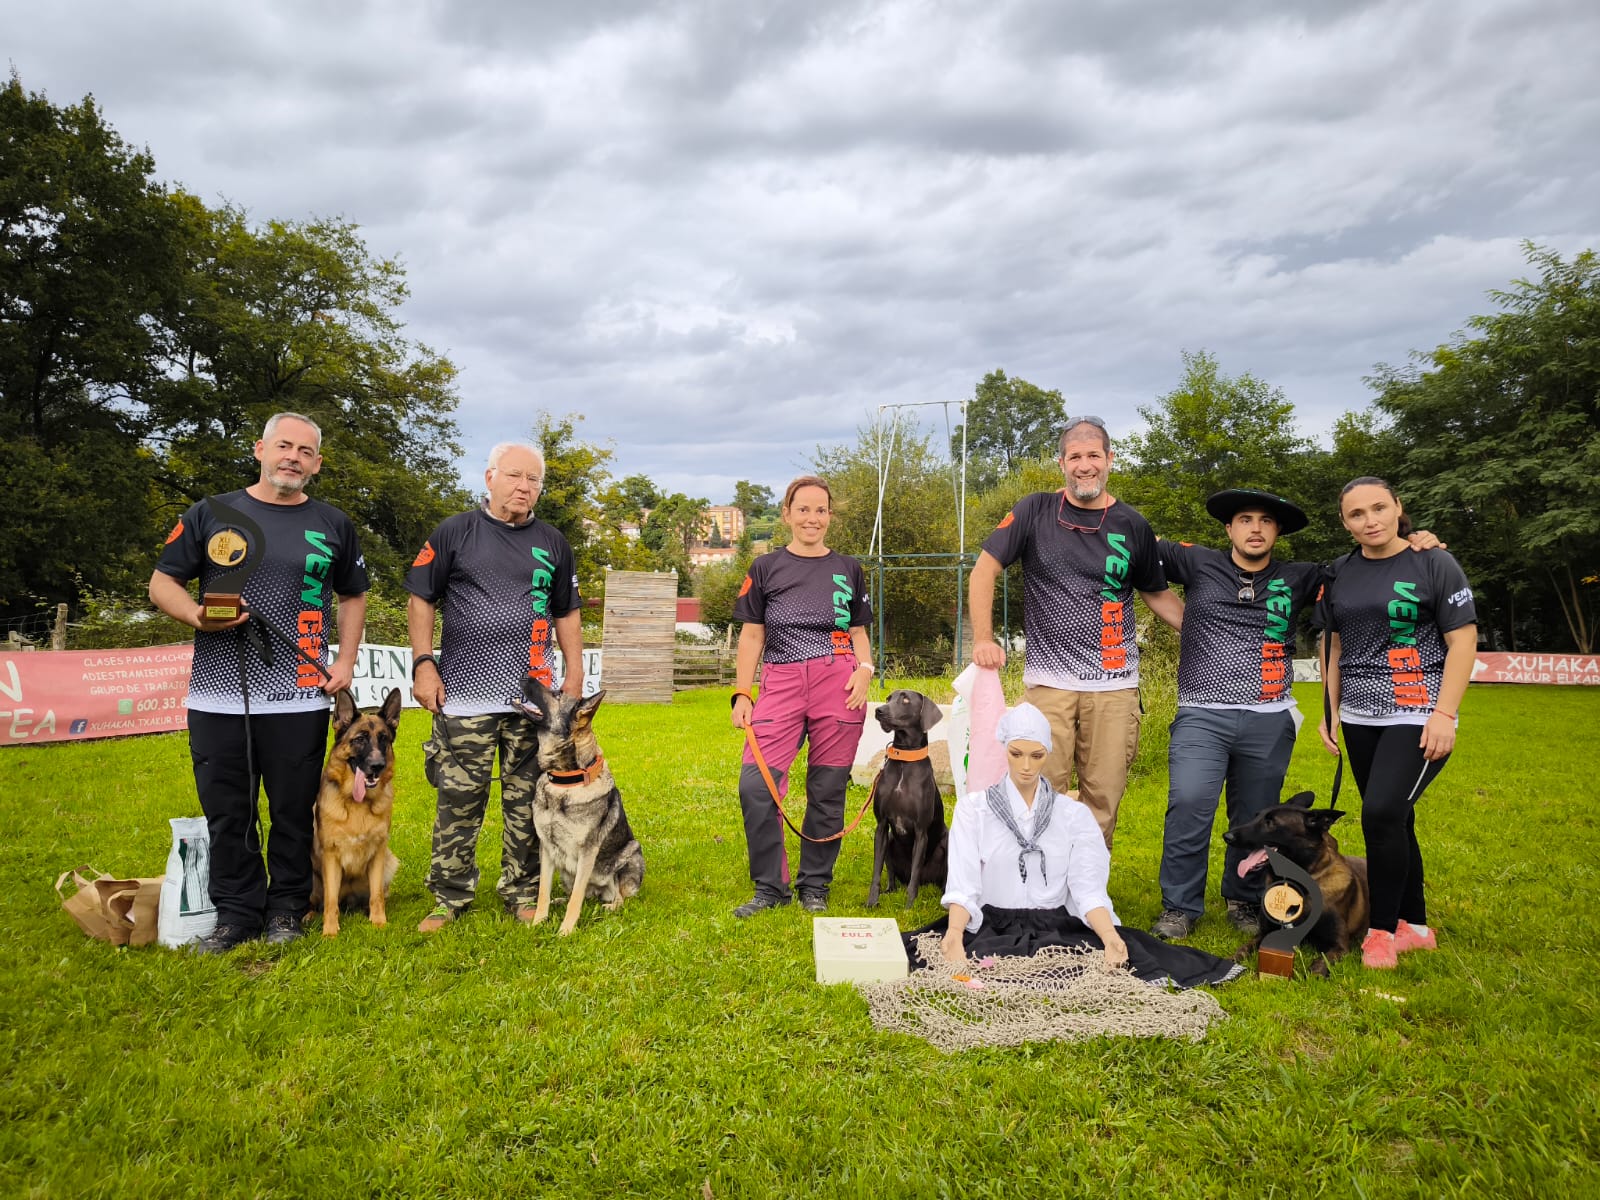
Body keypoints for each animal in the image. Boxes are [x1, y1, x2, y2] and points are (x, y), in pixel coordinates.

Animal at [870, 691, 940, 908]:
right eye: (888, 698)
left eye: (906, 699)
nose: (879, 710)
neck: (905, 760)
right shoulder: (882, 826)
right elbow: (876, 871)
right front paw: (871, 902)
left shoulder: (921, 832)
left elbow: (915, 875)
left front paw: (909, 906)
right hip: (891, 841)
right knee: (892, 874)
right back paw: (890, 890)